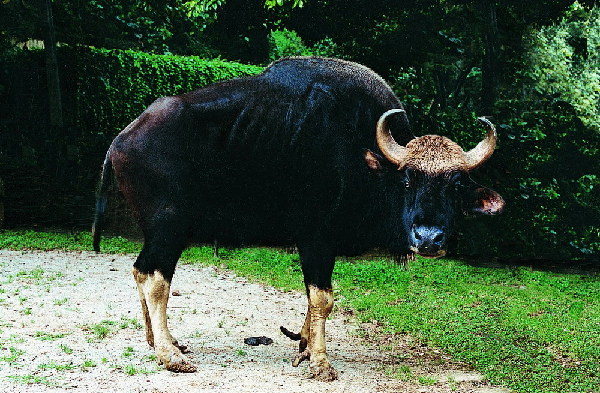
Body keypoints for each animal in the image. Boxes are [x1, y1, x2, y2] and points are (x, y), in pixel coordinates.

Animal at [94, 56, 504, 380]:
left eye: (457, 185)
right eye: (407, 179)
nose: (429, 238)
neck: (361, 156)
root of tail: (121, 139)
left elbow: (311, 298)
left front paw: (305, 346)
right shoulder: (317, 241)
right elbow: (323, 298)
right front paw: (320, 363)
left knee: (140, 271)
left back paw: (159, 341)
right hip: (168, 228)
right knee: (156, 280)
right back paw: (169, 355)